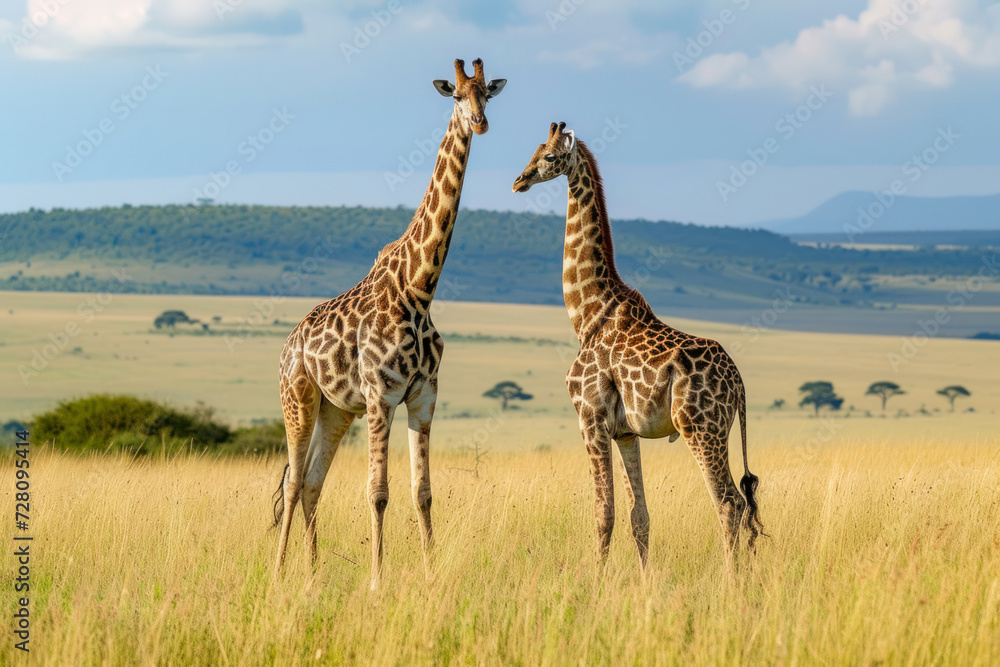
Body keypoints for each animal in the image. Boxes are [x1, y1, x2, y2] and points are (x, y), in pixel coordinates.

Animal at [272, 59, 506, 588]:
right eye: (456, 95)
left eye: (487, 93)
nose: (480, 123)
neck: (419, 288)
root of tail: (288, 345)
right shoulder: (382, 395)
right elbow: (377, 492)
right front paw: (378, 581)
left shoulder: (423, 397)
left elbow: (423, 492)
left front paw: (430, 574)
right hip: (298, 398)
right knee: (293, 482)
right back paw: (277, 572)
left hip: (336, 410)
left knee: (313, 480)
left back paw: (312, 575)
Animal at [512, 122, 763, 569]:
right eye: (535, 151)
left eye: (550, 157)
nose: (519, 181)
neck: (587, 314)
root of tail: (738, 384)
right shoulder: (626, 433)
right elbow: (638, 515)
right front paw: (645, 582)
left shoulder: (589, 418)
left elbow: (604, 513)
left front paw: (594, 581)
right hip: (719, 430)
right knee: (742, 502)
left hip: (701, 428)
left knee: (729, 502)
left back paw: (732, 580)